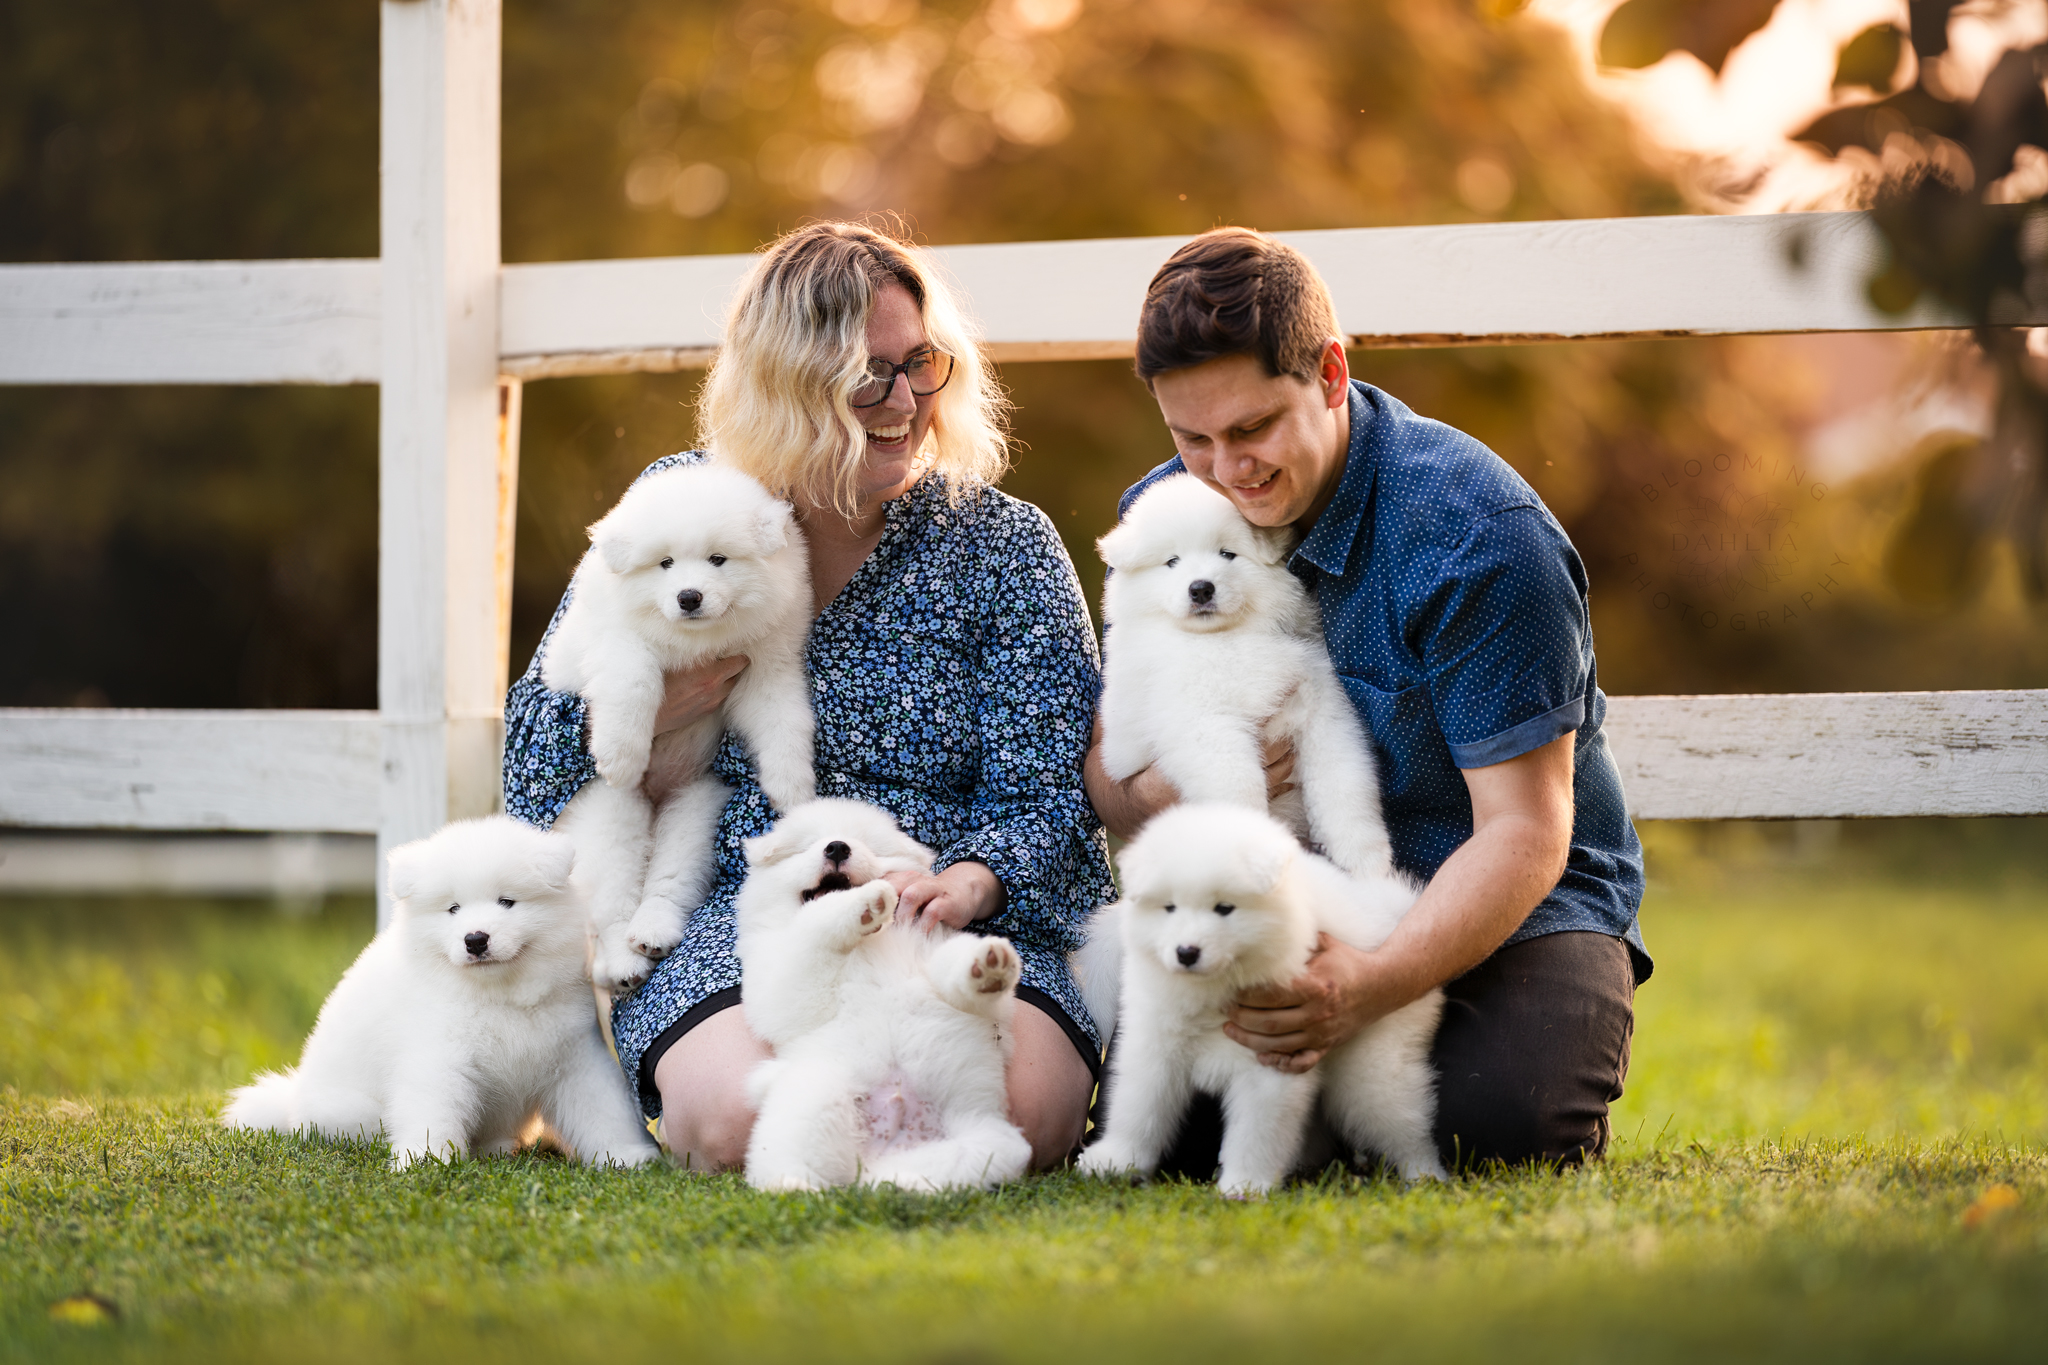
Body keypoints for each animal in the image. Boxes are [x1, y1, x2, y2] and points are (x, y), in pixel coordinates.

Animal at [217, 818, 651, 1170]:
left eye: (507, 902)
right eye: (453, 909)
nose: (475, 939)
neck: (498, 995)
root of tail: (292, 1101)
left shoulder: (574, 1055)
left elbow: (603, 1108)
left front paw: (626, 1156)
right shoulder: (437, 1056)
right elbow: (432, 1107)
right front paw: (425, 1161)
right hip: (354, 1111)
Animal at [544, 464, 815, 998]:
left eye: (718, 559)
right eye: (665, 564)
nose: (689, 597)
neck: (693, 644)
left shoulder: (765, 666)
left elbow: (784, 718)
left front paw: (793, 788)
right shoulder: (617, 643)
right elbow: (635, 683)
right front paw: (620, 755)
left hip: (695, 807)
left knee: (670, 880)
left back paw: (653, 933)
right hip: (607, 819)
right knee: (610, 909)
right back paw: (623, 962)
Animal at [733, 802, 1032, 1195]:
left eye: (868, 844)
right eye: (808, 844)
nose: (837, 847)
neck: (872, 944)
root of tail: (880, 1150)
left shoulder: (939, 963)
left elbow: (954, 971)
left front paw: (987, 966)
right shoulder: (784, 980)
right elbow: (814, 924)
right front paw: (862, 904)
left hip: (990, 1145)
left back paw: (902, 1185)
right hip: (814, 1096)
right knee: (787, 1161)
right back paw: (794, 1186)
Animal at [1081, 806, 1449, 1203]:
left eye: (1224, 909)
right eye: (1169, 908)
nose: (1186, 952)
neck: (1214, 993)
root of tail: (1393, 912)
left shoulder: (1271, 1061)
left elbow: (1256, 1133)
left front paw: (1244, 1185)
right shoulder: (1156, 1044)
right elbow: (1138, 1106)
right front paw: (1116, 1160)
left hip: (1373, 1068)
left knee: (1405, 1125)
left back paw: (1426, 1177)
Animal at [1105, 474, 1392, 879]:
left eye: (1228, 554)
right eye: (1172, 562)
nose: (1201, 588)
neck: (1226, 639)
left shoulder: (1320, 704)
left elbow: (1343, 780)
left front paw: (1366, 861)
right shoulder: (1203, 725)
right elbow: (1238, 789)